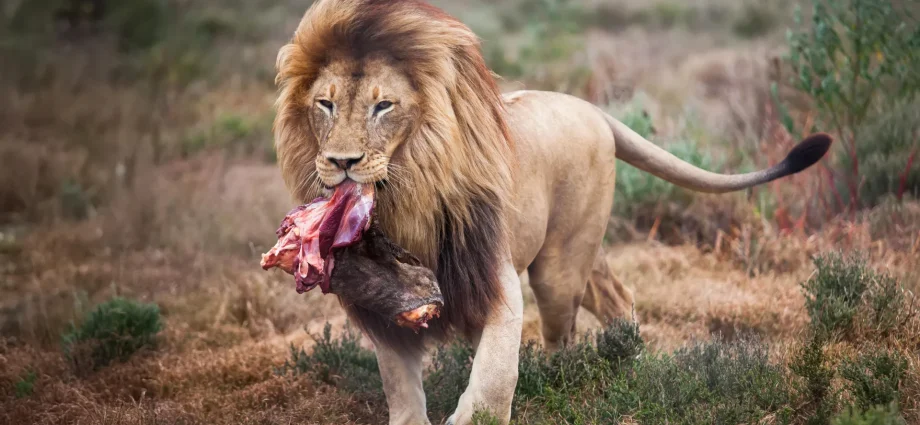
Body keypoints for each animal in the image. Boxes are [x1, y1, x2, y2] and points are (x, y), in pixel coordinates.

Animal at [272, 1, 832, 424]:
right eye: (325, 104)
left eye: (383, 106)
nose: (341, 162)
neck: (406, 198)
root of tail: (591, 108)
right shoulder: (383, 306)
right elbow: (400, 387)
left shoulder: (495, 279)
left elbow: (496, 376)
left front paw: (475, 414)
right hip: (583, 249)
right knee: (616, 294)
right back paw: (629, 358)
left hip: (558, 267)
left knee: (564, 334)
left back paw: (567, 378)